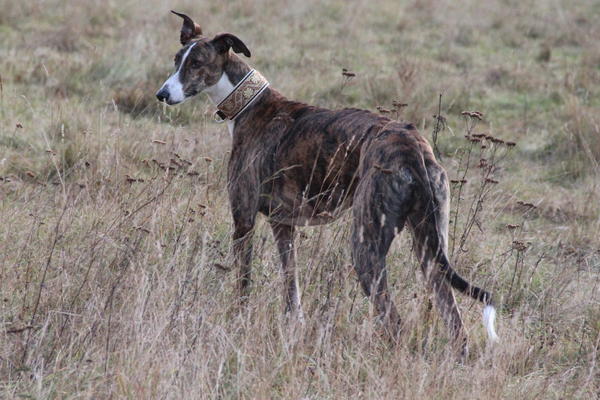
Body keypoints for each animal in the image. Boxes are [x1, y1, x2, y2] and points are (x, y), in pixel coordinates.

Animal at [157, 10, 500, 352]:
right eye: (176, 60)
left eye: (196, 63)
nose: (162, 94)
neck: (251, 104)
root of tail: (411, 144)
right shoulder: (283, 225)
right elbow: (292, 289)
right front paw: (293, 328)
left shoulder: (243, 220)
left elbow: (243, 285)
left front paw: (238, 321)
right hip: (430, 249)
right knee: (454, 323)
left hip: (366, 247)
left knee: (395, 322)